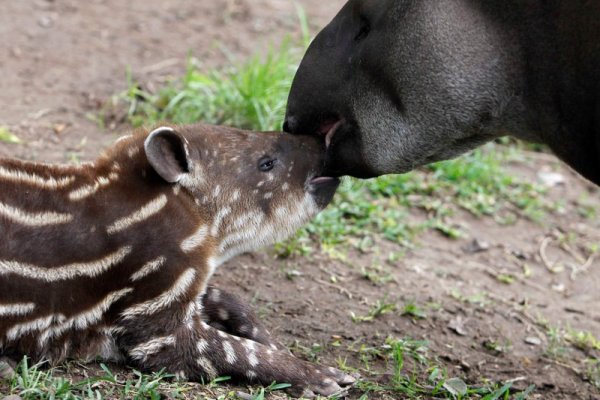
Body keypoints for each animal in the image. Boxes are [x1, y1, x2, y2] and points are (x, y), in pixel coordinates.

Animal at [0, 124, 352, 396]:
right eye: (267, 163)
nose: (325, 140)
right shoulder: (154, 307)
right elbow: (234, 351)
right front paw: (325, 377)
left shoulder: (185, 284)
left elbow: (229, 299)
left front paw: (276, 343)